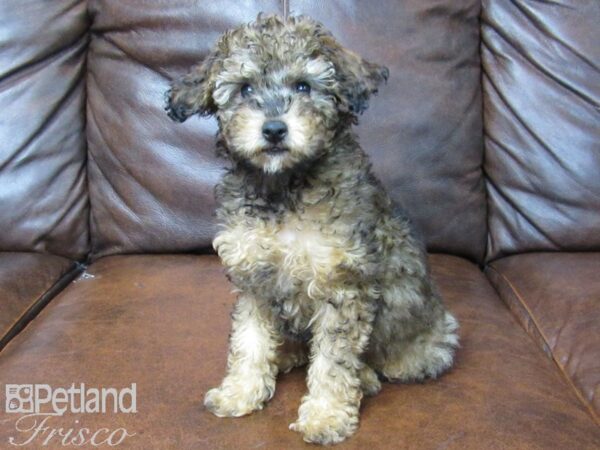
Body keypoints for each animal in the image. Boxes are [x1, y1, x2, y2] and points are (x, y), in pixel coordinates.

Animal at [166, 14, 458, 446]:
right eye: (245, 88)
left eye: (304, 85)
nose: (273, 130)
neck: (285, 189)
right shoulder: (253, 279)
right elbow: (248, 342)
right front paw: (241, 392)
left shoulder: (343, 287)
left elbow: (333, 362)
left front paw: (326, 416)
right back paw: (286, 353)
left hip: (422, 344)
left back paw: (366, 376)